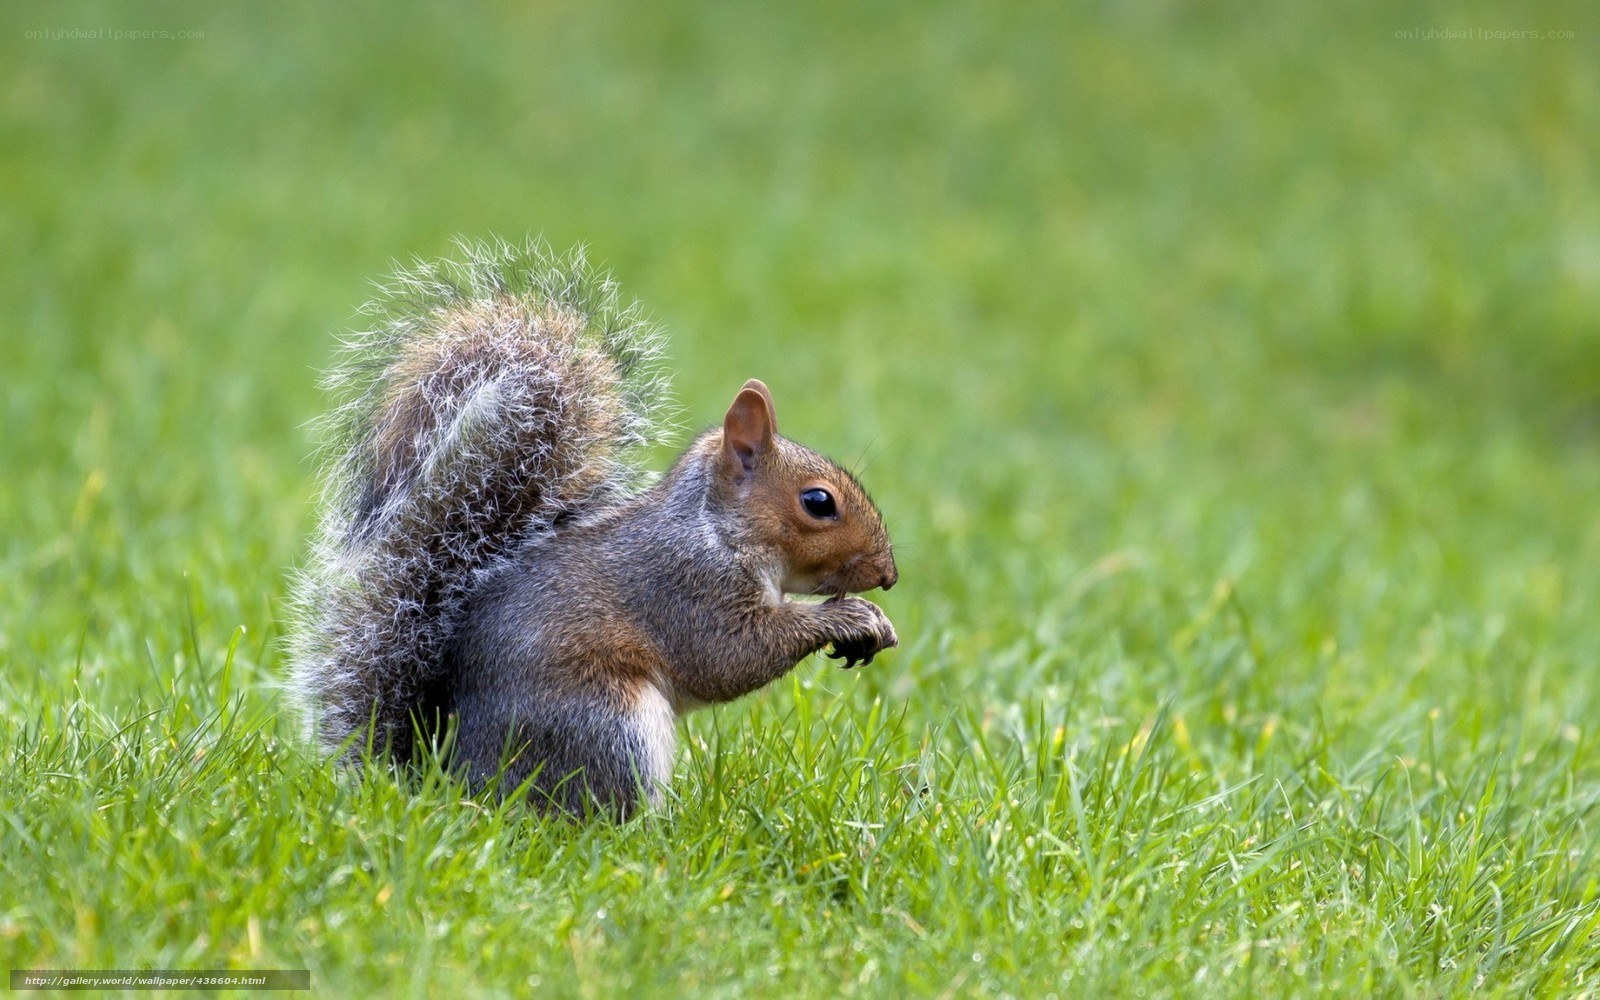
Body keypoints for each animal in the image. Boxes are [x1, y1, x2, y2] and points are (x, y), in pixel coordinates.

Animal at [286, 238, 899, 816]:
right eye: (818, 502)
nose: (889, 575)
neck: (715, 530)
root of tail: (451, 782)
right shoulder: (687, 589)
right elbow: (730, 657)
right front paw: (851, 617)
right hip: (608, 724)